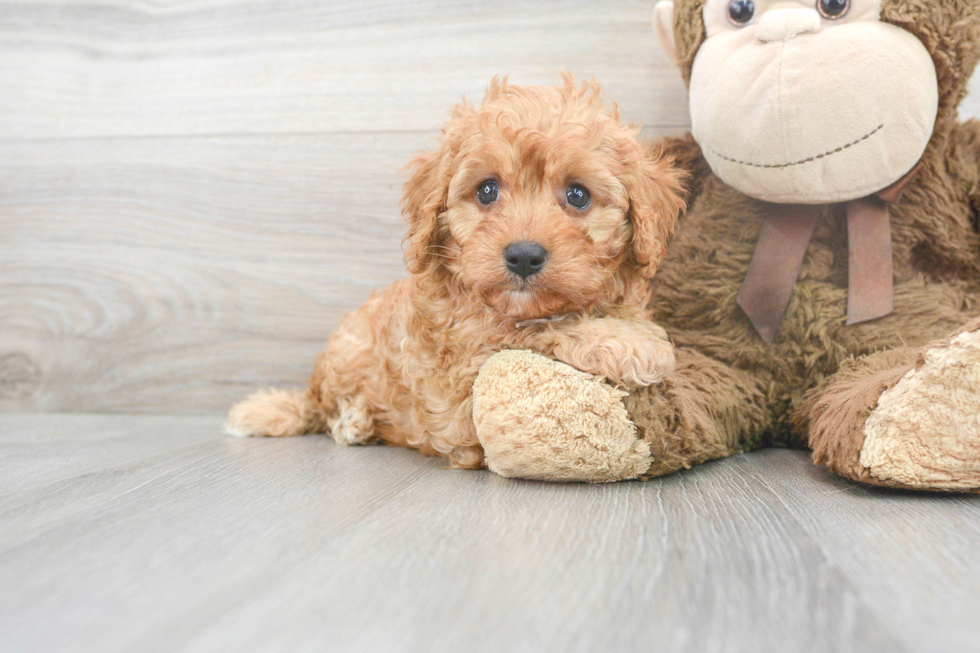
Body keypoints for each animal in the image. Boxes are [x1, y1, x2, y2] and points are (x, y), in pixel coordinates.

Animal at [226, 77, 684, 468]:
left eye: (577, 195)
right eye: (487, 190)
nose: (523, 256)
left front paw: (625, 331)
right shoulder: (455, 395)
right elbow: (525, 332)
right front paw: (624, 341)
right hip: (347, 353)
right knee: (322, 408)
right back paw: (352, 420)